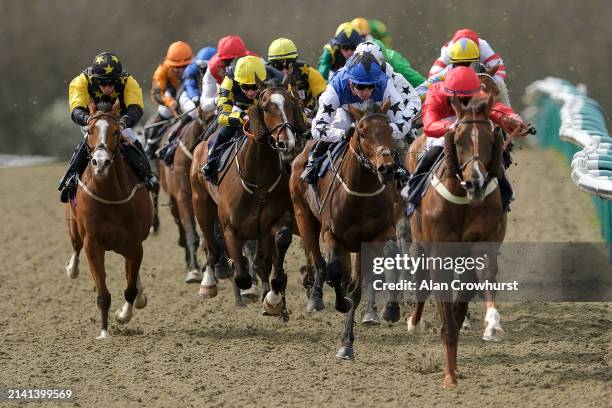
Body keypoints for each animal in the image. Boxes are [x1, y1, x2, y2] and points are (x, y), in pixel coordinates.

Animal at [63, 100, 152, 340]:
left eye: (115, 131)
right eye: (90, 131)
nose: (100, 163)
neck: (110, 195)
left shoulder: (134, 243)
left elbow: (130, 288)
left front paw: (123, 315)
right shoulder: (92, 243)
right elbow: (103, 293)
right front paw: (104, 332)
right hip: (73, 226)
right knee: (75, 246)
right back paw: (72, 269)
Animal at [190, 86, 306, 320]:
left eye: (291, 105)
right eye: (266, 107)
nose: (288, 143)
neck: (258, 178)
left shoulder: (276, 221)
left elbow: (276, 252)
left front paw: (273, 300)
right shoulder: (231, 228)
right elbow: (242, 274)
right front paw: (239, 277)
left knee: (261, 260)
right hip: (202, 206)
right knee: (211, 247)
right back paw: (209, 283)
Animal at [290, 102, 404, 360]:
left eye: (389, 131)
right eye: (361, 133)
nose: (387, 168)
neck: (359, 195)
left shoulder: (380, 232)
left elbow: (389, 256)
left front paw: (391, 309)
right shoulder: (332, 235)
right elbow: (333, 268)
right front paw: (341, 302)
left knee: (355, 283)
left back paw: (347, 342)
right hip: (303, 217)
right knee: (318, 259)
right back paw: (317, 297)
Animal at [406, 93, 506, 388]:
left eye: (489, 137)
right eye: (459, 139)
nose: (476, 182)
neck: (463, 201)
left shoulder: (482, 247)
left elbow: (479, 286)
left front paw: (492, 324)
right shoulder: (439, 255)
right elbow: (446, 310)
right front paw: (449, 376)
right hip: (419, 243)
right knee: (420, 281)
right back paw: (414, 322)